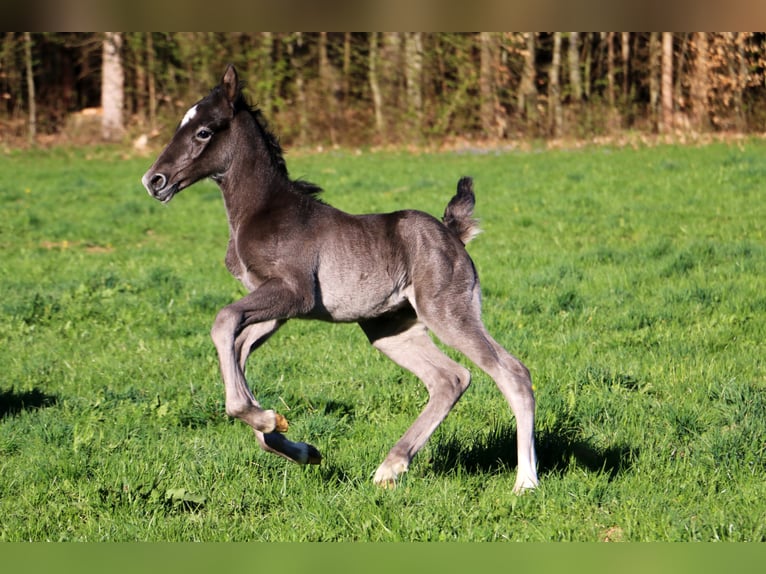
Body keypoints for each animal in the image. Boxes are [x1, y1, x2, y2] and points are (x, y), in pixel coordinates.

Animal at [142, 65, 540, 492]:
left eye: (203, 131)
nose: (154, 180)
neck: (262, 211)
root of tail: (452, 232)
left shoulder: (293, 293)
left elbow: (223, 322)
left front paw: (263, 417)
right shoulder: (276, 310)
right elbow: (237, 347)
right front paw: (293, 442)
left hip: (448, 312)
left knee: (512, 373)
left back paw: (525, 482)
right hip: (391, 329)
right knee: (450, 378)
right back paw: (390, 467)